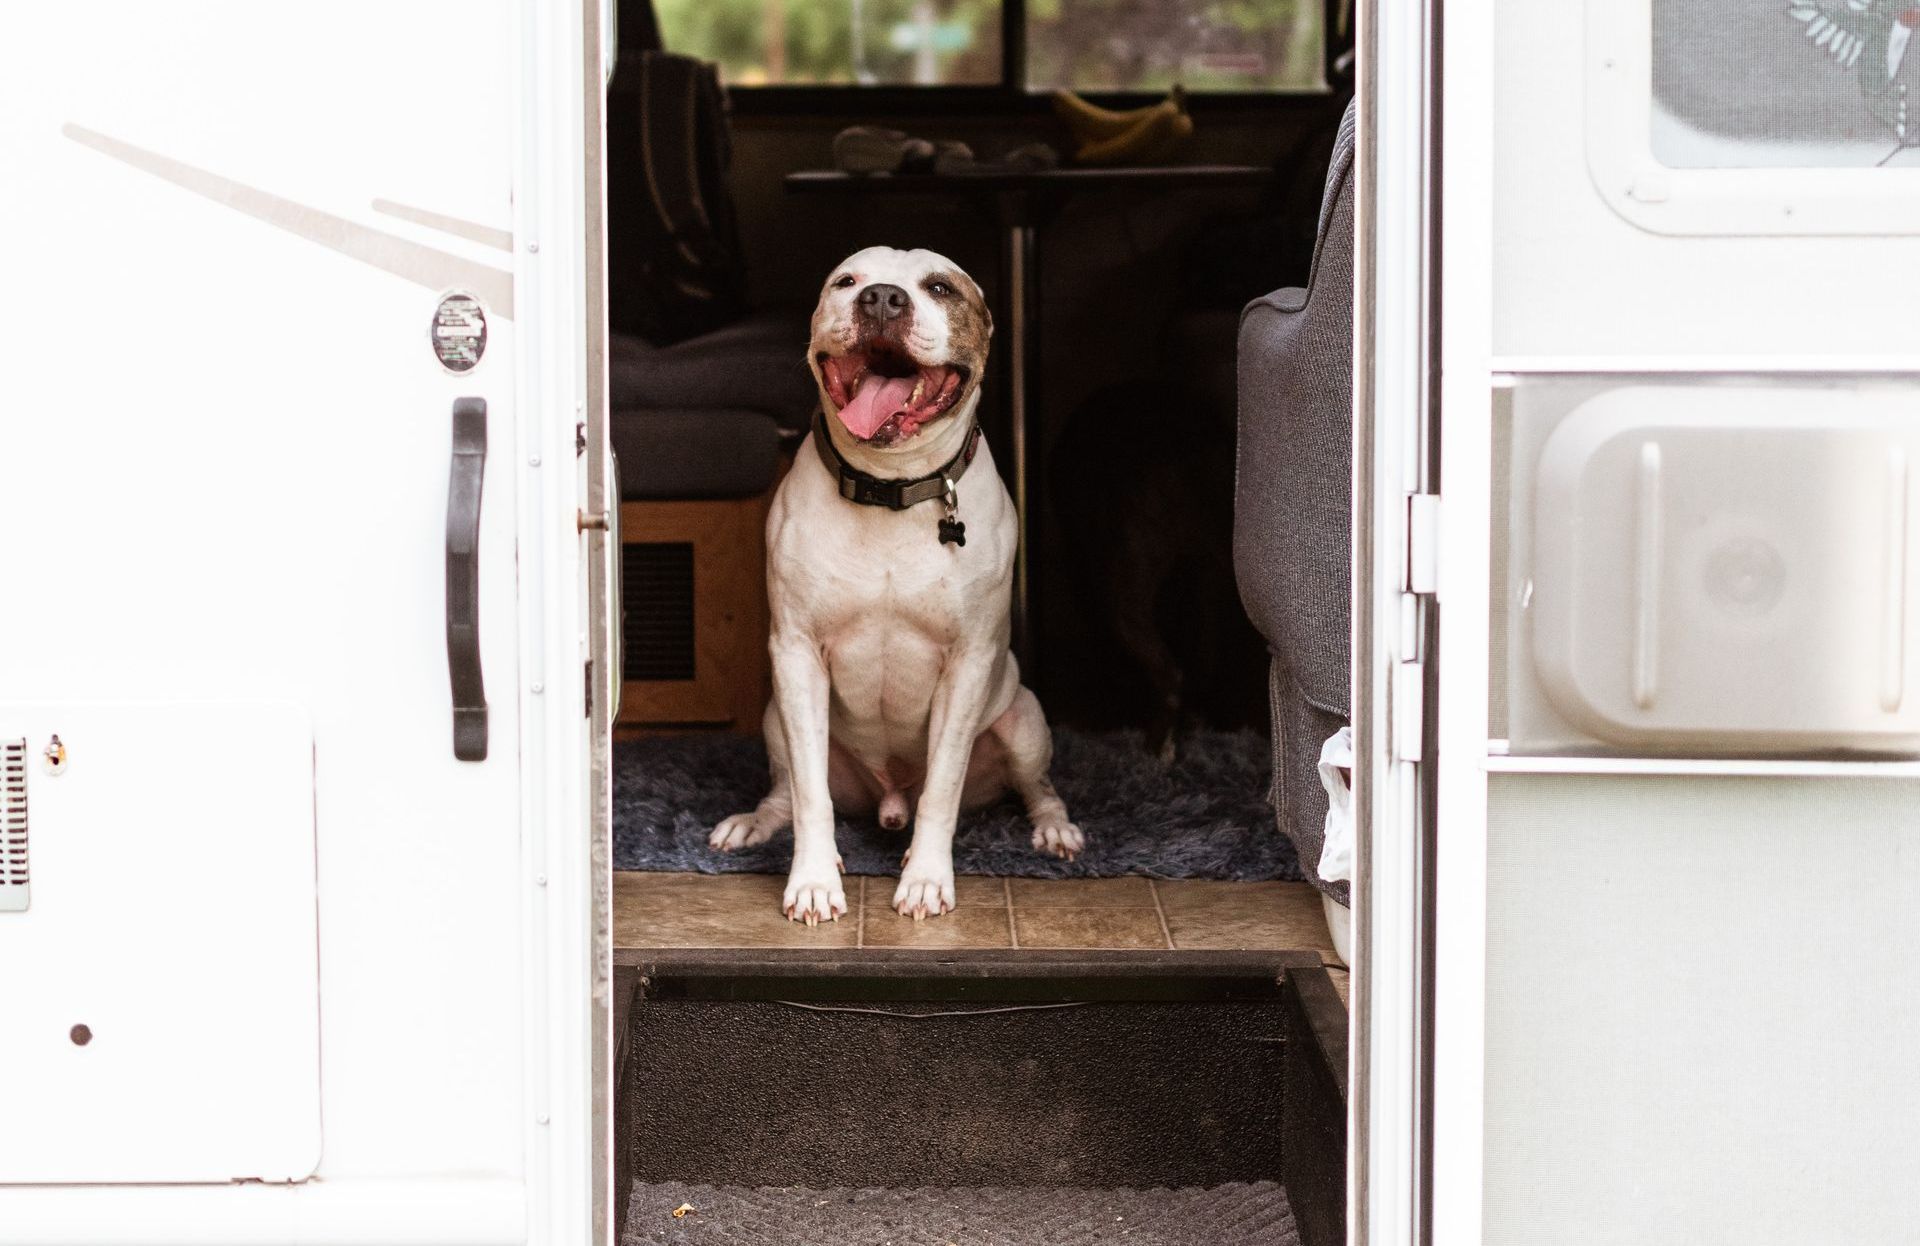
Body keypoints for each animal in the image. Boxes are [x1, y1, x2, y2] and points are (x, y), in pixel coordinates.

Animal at [718, 245, 1090, 921]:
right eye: (847, 282)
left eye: (940, 288)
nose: (884, 299)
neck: (889, 488)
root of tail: (888, 799)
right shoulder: (796, 654)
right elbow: (810, 795)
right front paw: (813, 881)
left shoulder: (968, 663)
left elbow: (942, 787)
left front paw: (925, 879)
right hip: (775, 720)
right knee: (785, 790)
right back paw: (752, 824)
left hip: (1023, 720)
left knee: (1037, 786)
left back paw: (1054, 830)